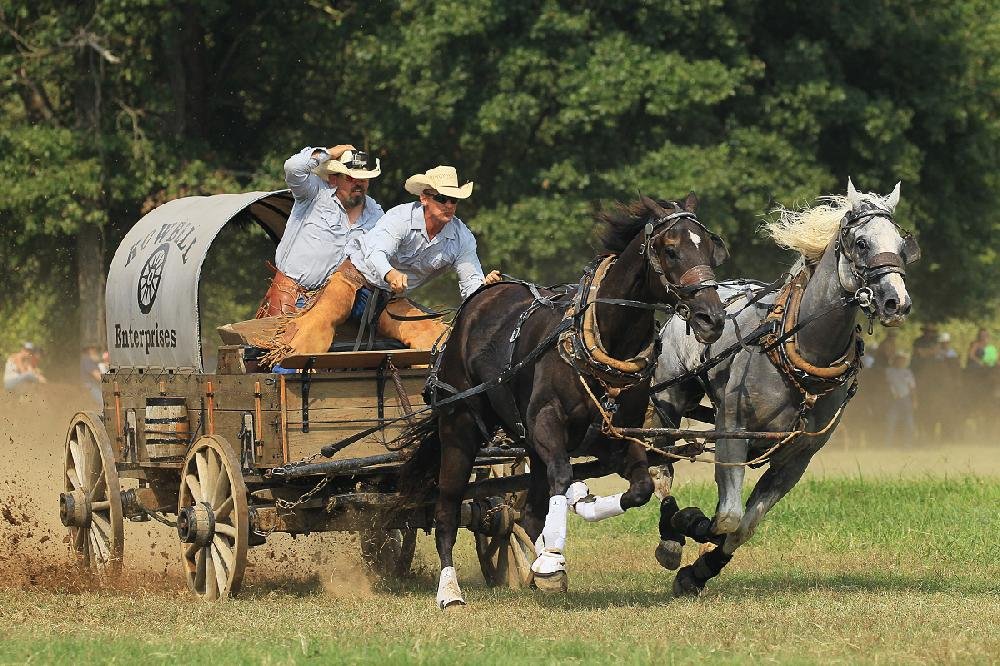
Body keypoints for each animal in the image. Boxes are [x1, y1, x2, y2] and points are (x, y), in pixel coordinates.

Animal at [402, 193, 732, 608]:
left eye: (710, 247)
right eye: (671, 249)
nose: (712, 318)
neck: (604, 342)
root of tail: (470, 310)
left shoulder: (616, 435)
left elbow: (640, 488)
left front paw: (576, 515)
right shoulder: (546, 421)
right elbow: (561, 473)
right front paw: (553, 555)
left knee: (528, 509)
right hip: (459, 428)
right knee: (447, 510)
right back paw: (450, 591)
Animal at [652, 179, 916, 592]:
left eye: (903, 246)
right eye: (861, 243)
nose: (896, 302)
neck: (798, 354)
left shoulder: (796, 459)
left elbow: (743, 526)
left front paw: (701, 570)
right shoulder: (732, 432)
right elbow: (727, 515)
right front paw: (691, 523)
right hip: (668, 398)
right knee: (661, 467)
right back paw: (670, 536)